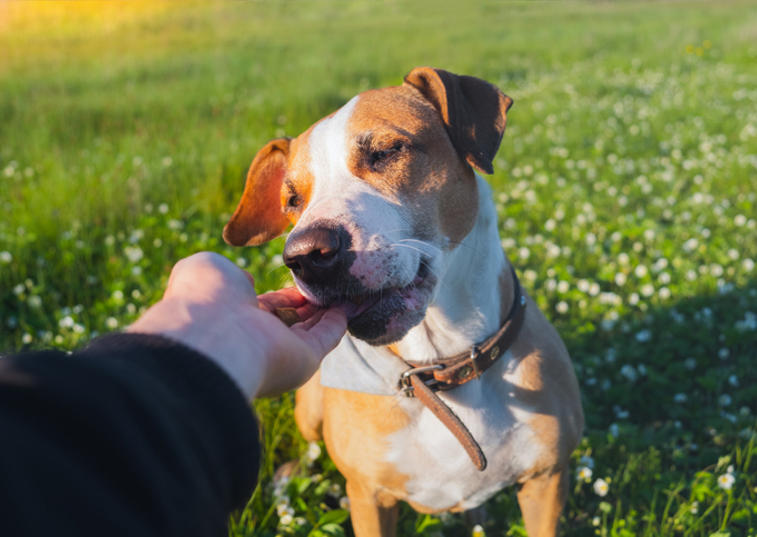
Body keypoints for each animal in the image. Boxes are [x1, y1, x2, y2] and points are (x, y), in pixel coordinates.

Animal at [221, 68, 580, 536]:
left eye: (385, 152)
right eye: (292, 200)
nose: (306, 254)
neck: (439, 365)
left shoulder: (546, 482)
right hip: (310, 407)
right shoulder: (368, 497)